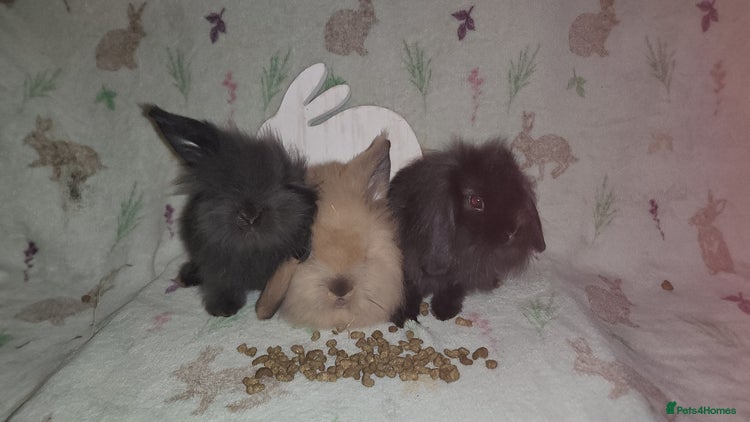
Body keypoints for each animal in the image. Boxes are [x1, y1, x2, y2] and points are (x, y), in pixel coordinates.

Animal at [144, 105, 318, 317]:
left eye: (283, 182)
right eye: (221, 186)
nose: (250, 215)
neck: (253, 250)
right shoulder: (216, 265)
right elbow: (221, 282)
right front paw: (223, 309)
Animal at [388, 138, 546, 324]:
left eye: (515, 194)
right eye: (476, 201)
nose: (510, 232)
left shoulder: (458, 277)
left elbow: (453, 288)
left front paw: (444, 311)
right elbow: (406, 290)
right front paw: (403, 316)